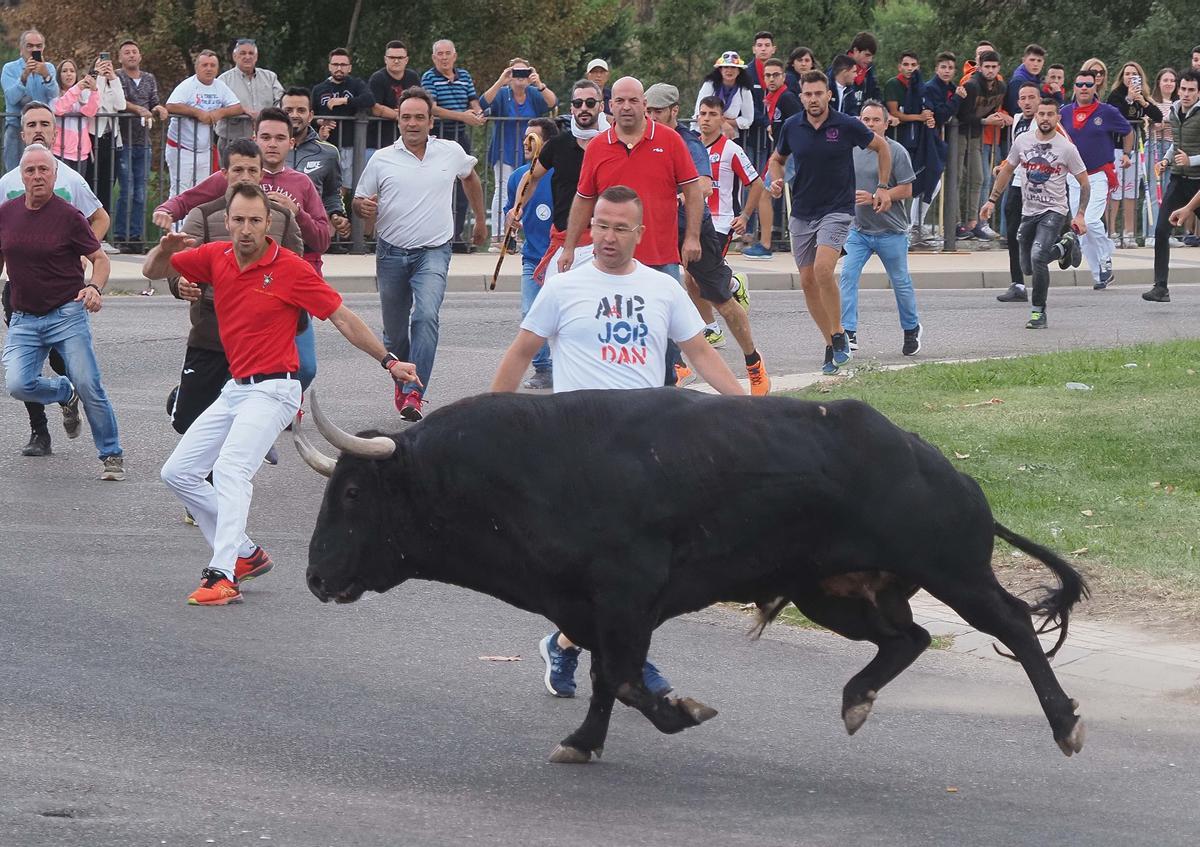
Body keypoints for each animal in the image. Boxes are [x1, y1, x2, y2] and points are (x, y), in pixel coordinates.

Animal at [295, 386, 1094, 763]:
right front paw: (582, 740)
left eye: (354, 493)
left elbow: (623, 677)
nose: (315, 576)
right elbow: (605, 679)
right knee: (909, 639)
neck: (525, 469)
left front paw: (682, 711)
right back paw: (855, 699)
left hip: (954, 570)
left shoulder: (627, 594)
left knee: (1012, 624)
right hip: (832, 592)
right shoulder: (596, 607)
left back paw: (1065, 723)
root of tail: (940, 464)